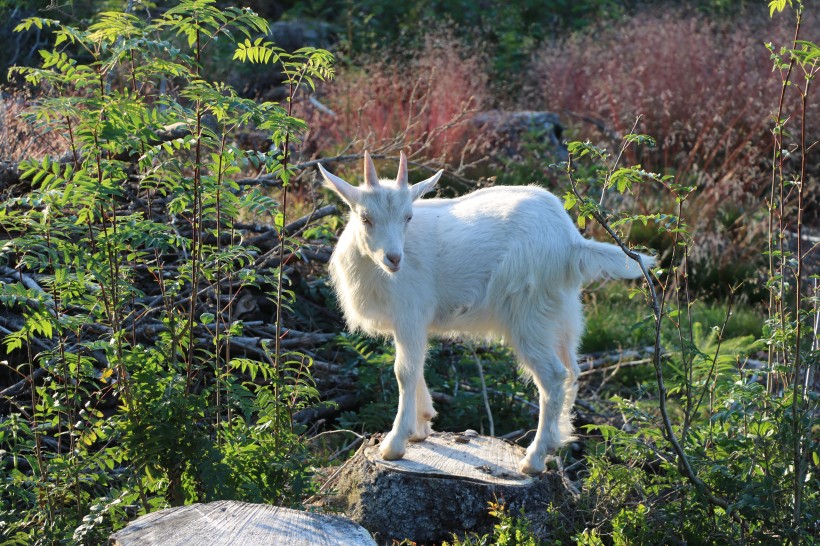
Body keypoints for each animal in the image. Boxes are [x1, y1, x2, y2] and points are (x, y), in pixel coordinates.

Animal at [318, 150, 652, 472]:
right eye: (365, 217)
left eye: (408, 216)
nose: (394, 258)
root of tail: (572, 241)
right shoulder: (410, 323)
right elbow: (417, 367)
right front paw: (421, 426)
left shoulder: (410, 314)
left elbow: (405, 371)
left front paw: (395, 444)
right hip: (562, 314)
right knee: (572, 369)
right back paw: (557, 440)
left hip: (529, 315)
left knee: (554, 377)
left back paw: (533, 459)